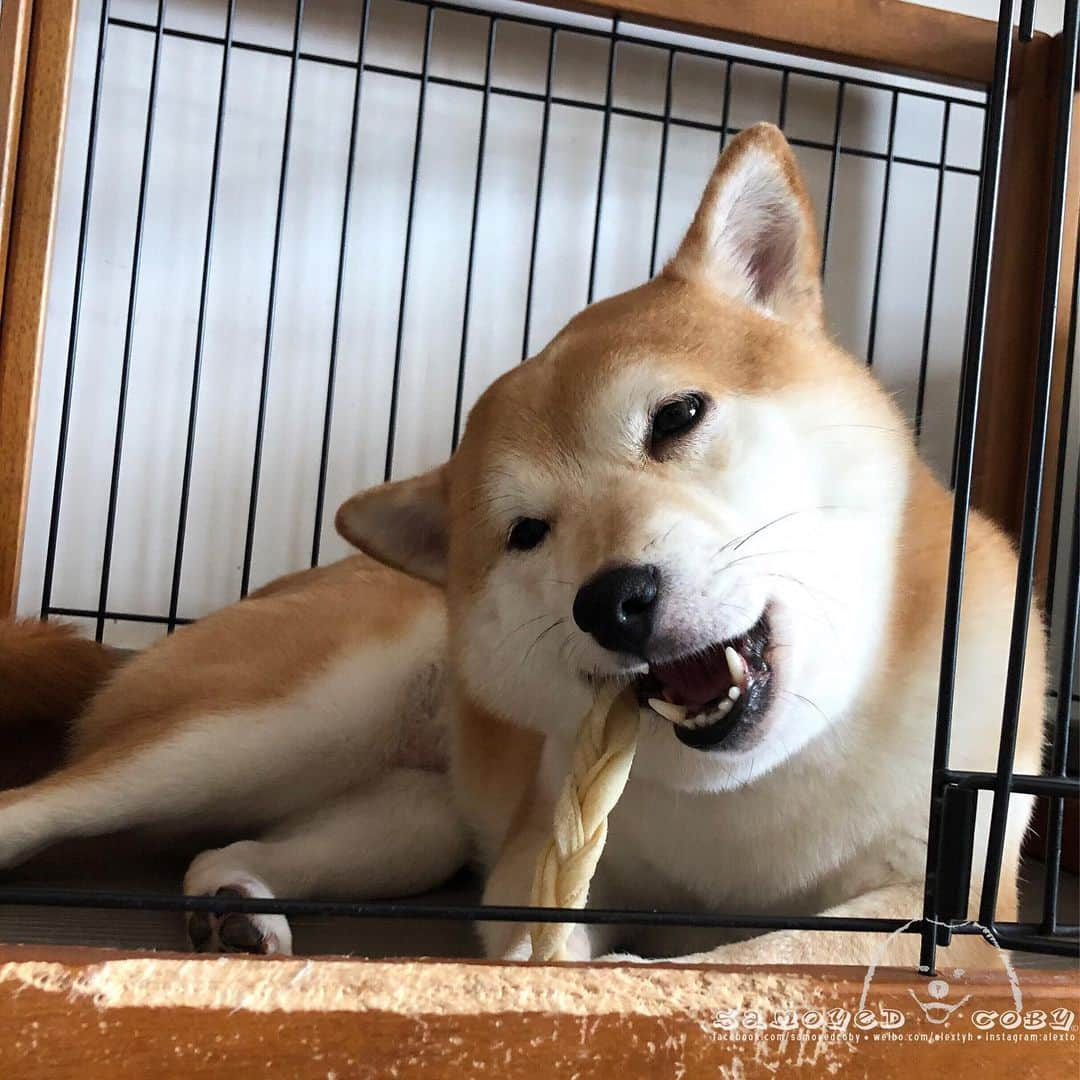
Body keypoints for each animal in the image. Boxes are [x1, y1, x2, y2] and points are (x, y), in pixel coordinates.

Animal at [2, 126, 1045, 972]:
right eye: (524, 533)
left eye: (678, 416)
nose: (613, 599)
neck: (764, 788)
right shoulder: (532, 862)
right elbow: (566, 946)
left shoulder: (963, 906)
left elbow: (797, 949)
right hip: (261, 726)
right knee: (50, 805)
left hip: (403, 821)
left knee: (228, 849)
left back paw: (234, 908)